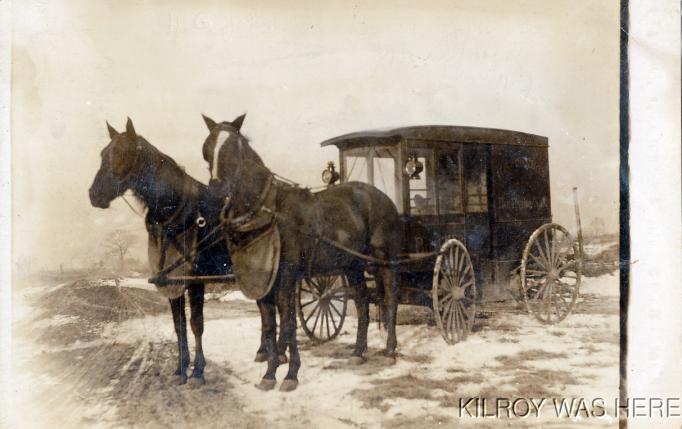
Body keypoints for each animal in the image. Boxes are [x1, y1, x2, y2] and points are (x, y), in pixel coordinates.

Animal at [88, 117, 231, 384]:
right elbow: (179, 324)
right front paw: (181, 368)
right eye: (103, 154)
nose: (94, 195)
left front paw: (197, 371)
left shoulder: (195, 279)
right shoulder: (171, 279)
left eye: (121, 153)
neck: (179, 212)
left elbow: (196, 323)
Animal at [199, 113, 402, 392]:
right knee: (362, 303)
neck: (268, 211)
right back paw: (359, 351)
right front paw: (270, 371)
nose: (216, 189)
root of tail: (380, 195)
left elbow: (288, 322)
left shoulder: (287, 276)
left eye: (233, 147)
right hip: (353, 266)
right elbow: (270, 325)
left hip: (385, 261)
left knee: (390, 301)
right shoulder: (263, 281)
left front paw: (290, 373)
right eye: (207, 148)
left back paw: (390, 350)